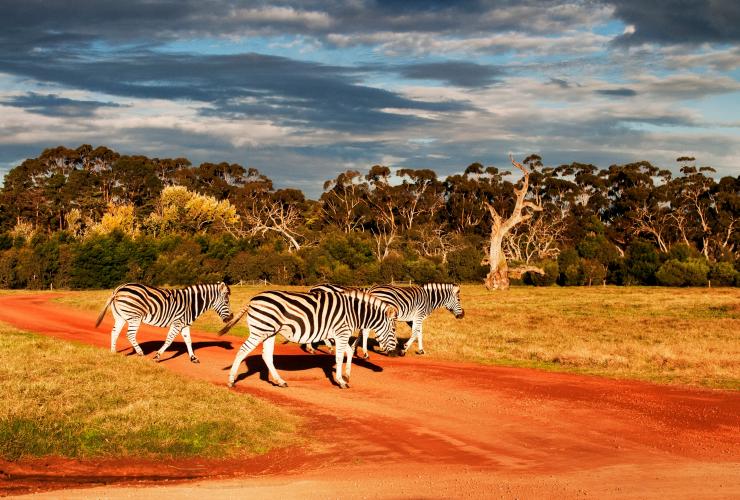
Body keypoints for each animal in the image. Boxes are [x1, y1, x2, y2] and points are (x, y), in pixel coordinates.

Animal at [95, 282, 234, 363]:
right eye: (227, 301)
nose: (231, 318)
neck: (191, 303)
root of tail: (119, 289)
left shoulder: (185, 324)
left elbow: (188, 341)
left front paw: (193, 358)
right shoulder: (178, 323)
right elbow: (169, 340)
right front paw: (157, 356)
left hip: (120, 317)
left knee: (115, 332)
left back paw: (113, 352)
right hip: (135, 317)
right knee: (130, 334)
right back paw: (140, 353)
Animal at [218, 289, 398, 389]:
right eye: (394, 329)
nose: (397, 354)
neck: (353, 312)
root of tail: (253, 299)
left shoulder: (340, 334)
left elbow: (348, 351)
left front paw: (346, 375)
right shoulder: (341, 332)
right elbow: (340, 356)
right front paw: (341, 381)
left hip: (269, 332)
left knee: (266, 355)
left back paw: (280, 381)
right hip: (261, 330)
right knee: (243, 350)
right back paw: (231, 381)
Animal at [310, 283, 464, 357]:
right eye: (458, 299)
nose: (462, 315)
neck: (428, 299)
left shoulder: (413, 318)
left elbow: (419, 333)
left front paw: (420, 350)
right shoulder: (418, 316)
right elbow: (415, 333)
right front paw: (403, 349)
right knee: (365, 331)